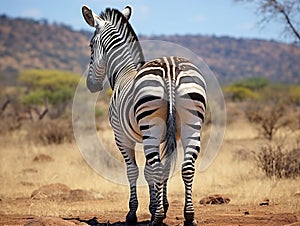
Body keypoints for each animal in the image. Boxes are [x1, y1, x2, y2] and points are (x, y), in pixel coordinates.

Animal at [82, 5, 206, 226]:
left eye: (91, 46)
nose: (91, 85)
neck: (124, 72)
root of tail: (170, 68)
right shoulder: (168, 136)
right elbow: (162, 169)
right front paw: (160, 205)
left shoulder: (121, 137)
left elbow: (135, 171)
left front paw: (136, 212)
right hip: (190, 123)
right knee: (186, 167)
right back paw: (189, 216)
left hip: (151, 128)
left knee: (156, 168)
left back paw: (157, 219)